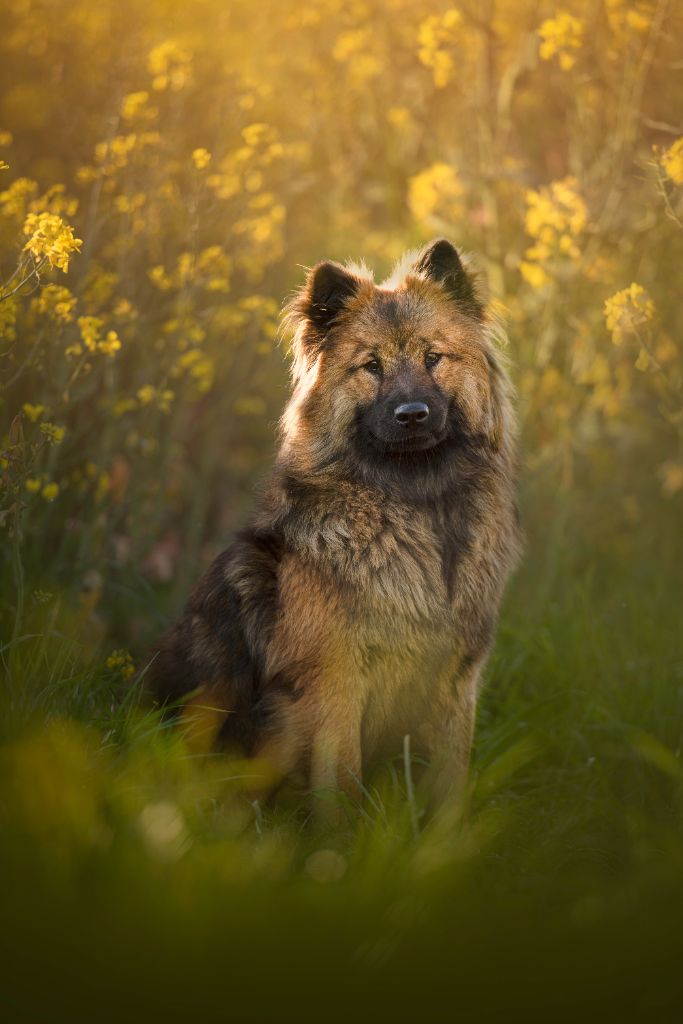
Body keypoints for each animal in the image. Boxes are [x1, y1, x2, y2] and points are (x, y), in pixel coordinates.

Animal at [150, 237, 524, 806]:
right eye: (371, 366)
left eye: (434, 358)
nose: (412, 414)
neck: (420, 508)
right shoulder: (335, 683)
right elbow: (342, 777)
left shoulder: (457, 680)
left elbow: (448, 782)